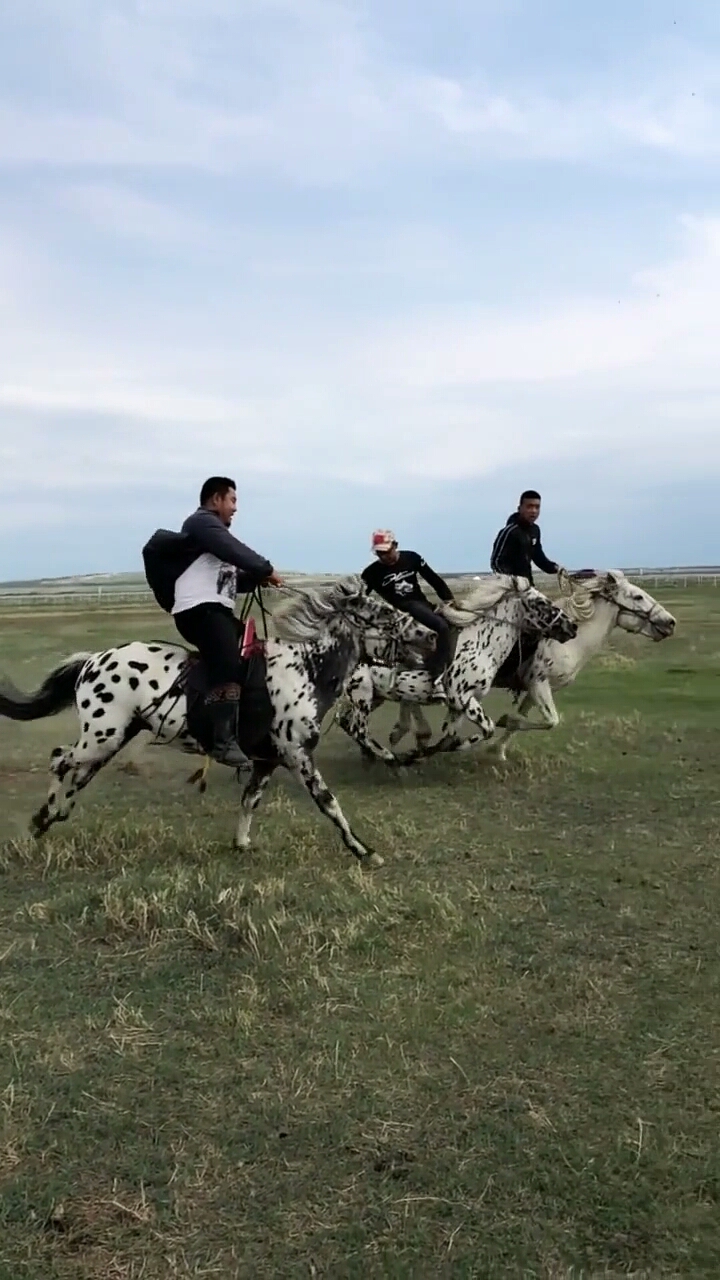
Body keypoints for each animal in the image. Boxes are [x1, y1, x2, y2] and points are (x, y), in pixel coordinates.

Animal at [0, 581, 427, 870]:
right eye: (385, 614)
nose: (428, 635)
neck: (306, 671)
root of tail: (93, 660)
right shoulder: (297, 755)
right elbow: (329, 803)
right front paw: (365, 851)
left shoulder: (268, 761)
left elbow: (250, 800)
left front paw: (242, 843)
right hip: (102, 736)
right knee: (60, 758)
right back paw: (43, 818)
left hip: (112, 739)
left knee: (76, 773)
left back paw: (51, 817)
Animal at [381, 570, 671, 757]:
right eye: (637, 597)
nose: (670, 623)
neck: (569, 644)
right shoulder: (538, 682)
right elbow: (550, 720)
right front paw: (500, 727)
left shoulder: (536, 689)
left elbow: (527, 720)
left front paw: (498, 747)